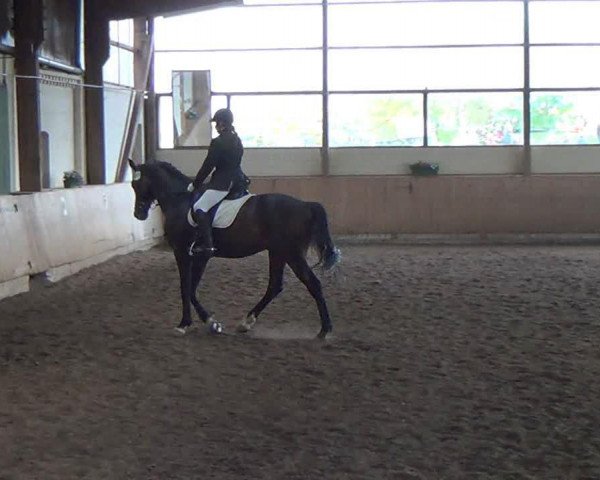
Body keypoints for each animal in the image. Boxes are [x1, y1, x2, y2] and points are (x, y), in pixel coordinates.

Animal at [128, 159, 340, 340]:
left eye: (138, 185)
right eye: (132, 185)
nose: (139, 214)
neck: (179, 201)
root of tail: (306, 205)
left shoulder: (185, 253)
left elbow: (187, 288)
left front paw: (192, 323)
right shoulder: (195, 256)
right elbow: (190, 288)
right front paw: (207, 323)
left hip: (291, 253)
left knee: (312, 284)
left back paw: (325, 330)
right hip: (278, 252)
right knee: (275, 286)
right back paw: (246, 322)